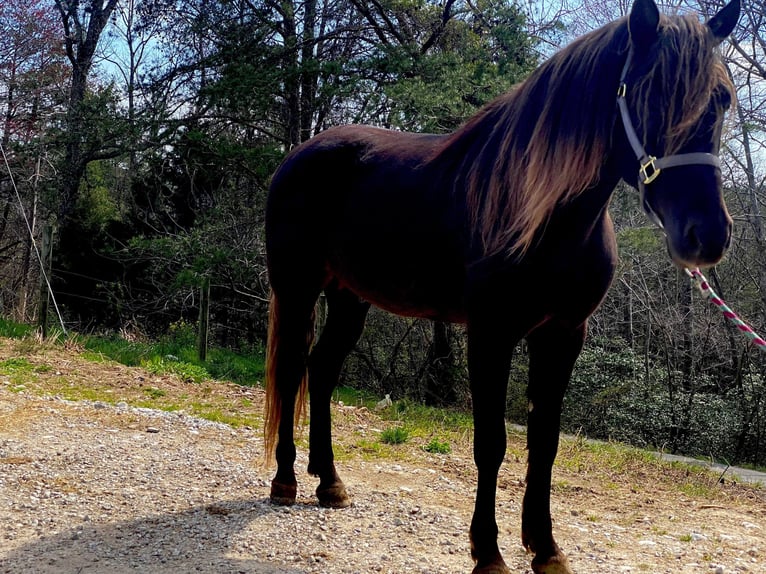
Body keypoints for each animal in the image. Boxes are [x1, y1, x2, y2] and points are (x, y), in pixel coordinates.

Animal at [264, 2, 744, 572]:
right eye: (647, 94)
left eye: (722, 99)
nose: (707, 235)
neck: (545, 216)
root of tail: (299, 153)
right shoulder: (490, 334)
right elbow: (491, 442)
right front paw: (488, 551)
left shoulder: (562, 334)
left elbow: (545, 442)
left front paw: (546, 547)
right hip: (297, 287)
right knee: (292, 369)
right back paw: (286, 480)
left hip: (348, 298)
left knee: (321, 370)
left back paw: (329, 482)